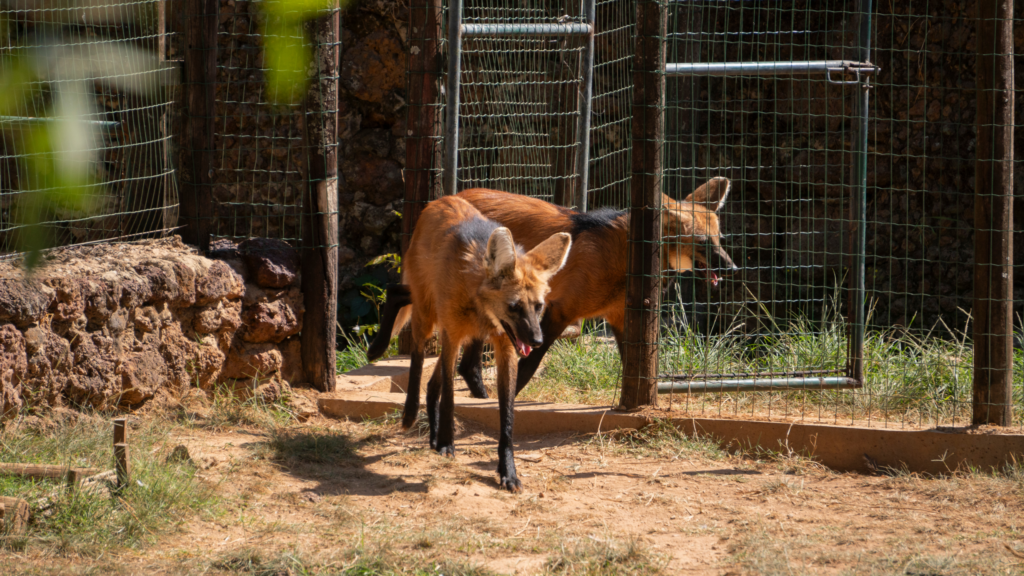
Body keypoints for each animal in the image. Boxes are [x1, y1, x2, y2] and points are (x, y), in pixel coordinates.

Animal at [370, 176, 737, 393]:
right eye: (702, 243)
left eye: (719, 239)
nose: (732, 267)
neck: (626, 256)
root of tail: (448, 197)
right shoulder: (558, 312)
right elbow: (528, 366)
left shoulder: (617, 317)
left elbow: (631, 363)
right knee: (400, 291)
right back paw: (377, 347)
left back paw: (475, 386)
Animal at [393, 192, 573, 487]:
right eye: (514, 307)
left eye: (538, 307)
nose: (537, 341)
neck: (480, 306)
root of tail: (440, 200)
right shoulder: (453, 333)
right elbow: (450, 397)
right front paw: (447, 444)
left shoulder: (504, 345)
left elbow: (507, 414)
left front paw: (508, 471)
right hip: (428, 316)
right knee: (418, 357)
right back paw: (410, 415)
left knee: (433, 383)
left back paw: (432, 434)